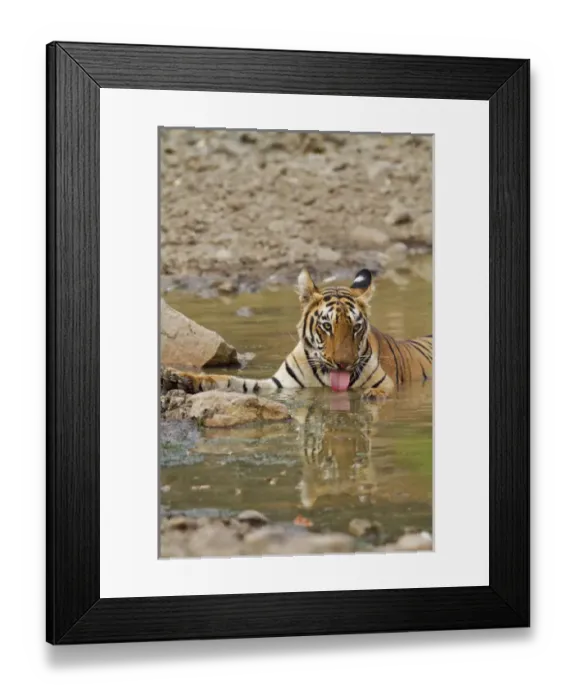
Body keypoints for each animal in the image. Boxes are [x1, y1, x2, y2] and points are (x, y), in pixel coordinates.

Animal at [161, 268, 432, 401]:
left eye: (356, 327)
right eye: (327, 326)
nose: (343, 365)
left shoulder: (387, 383)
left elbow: (382, 391)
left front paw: (373, 396)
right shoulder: (279, 385)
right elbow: (229, 381)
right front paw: (180, 379)